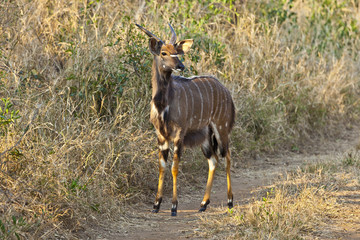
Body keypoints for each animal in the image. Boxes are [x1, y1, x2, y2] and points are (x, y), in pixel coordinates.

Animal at [136, 23, 236, 217]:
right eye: (163, 53)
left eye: (176, 51)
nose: (180, 66)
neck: (163, 105)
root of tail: (226, 91)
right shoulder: (161, 135)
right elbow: (162, 166)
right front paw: (156, 205)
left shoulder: (178, 134)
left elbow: (174, 167)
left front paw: (174, 207)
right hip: (206, 137)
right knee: (213, 160)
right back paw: (203, 204)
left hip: (221, 128)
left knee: (227, 156)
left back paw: (229, 201)